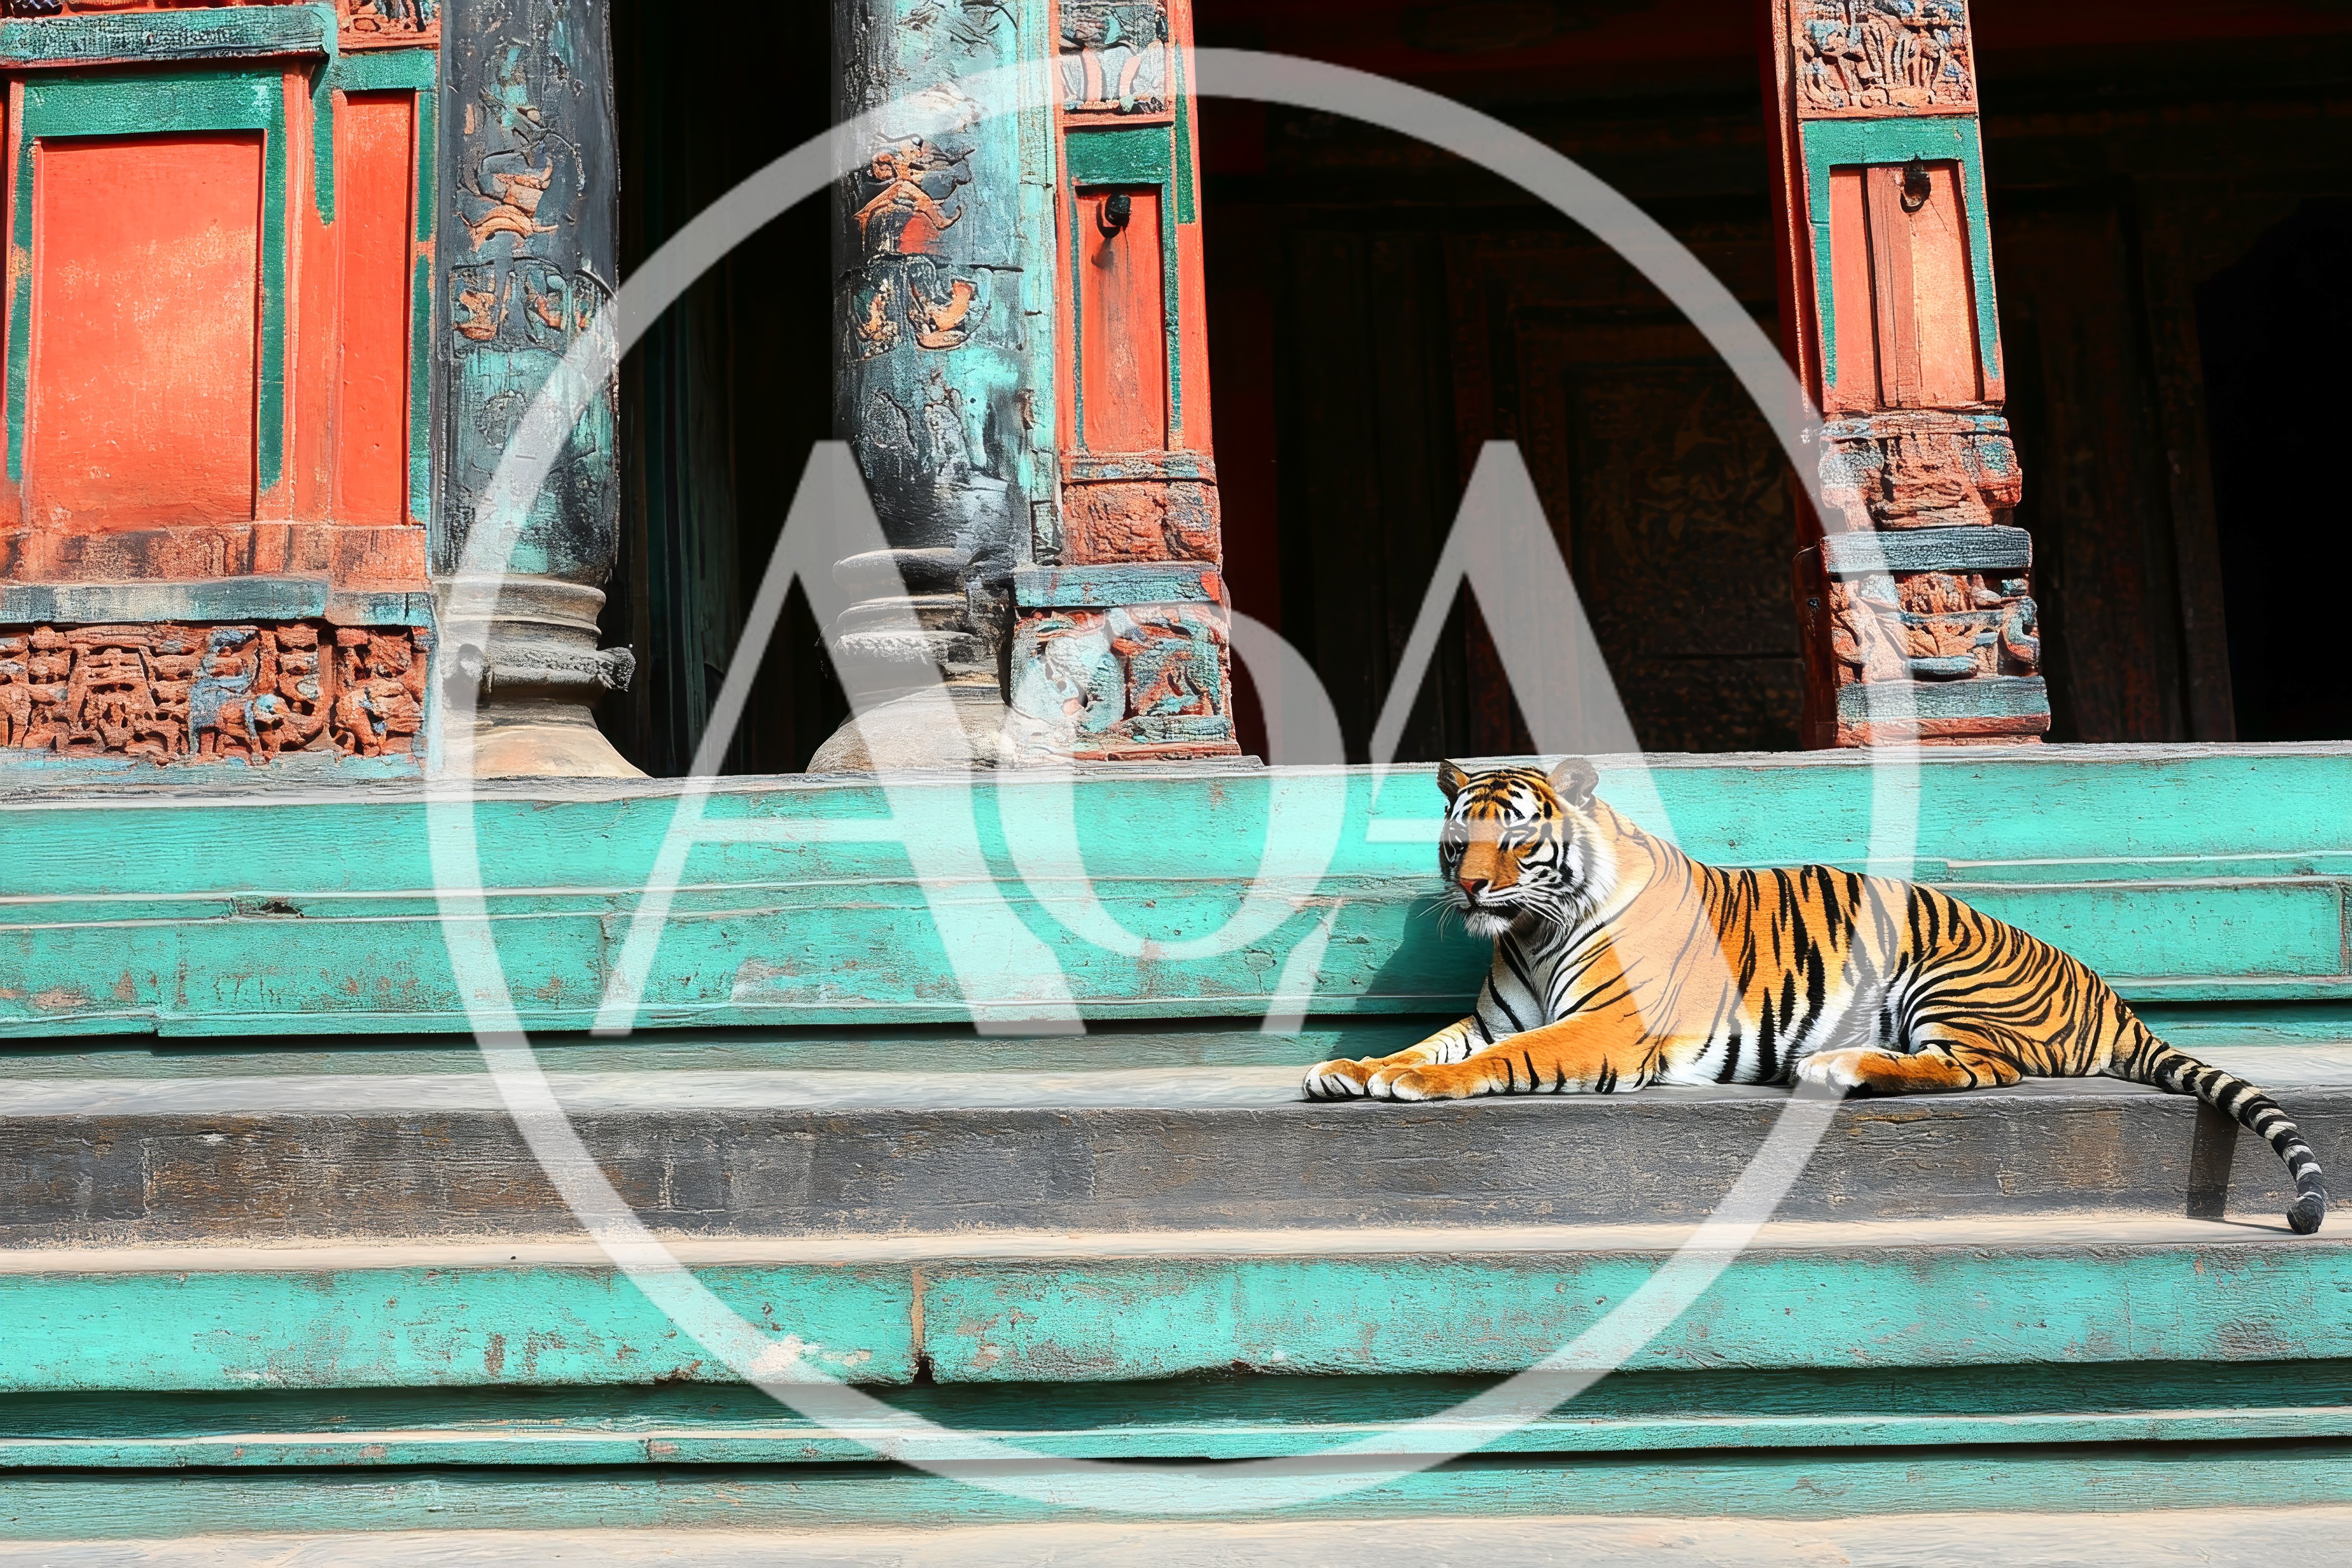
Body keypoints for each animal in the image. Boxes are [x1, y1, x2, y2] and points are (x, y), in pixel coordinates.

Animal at [1301, 757, 2329, 1236]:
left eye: (1515, 843)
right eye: (1455, 843)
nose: (1473, 889)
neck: (1534, 927)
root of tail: (2108, 992)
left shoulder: (1608, 1028)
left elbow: (1496, 1060)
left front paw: (1415, 1086)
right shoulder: (1494, 1011)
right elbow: (1433, 1042)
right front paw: (1351, 1067)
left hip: (1939, 967)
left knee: (1974, 1071)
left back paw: (1837, 1065)